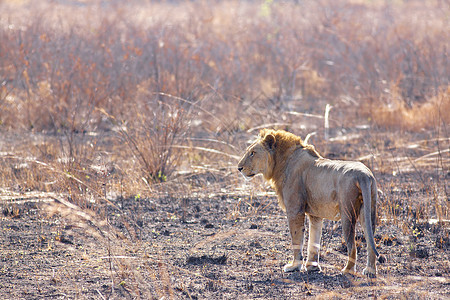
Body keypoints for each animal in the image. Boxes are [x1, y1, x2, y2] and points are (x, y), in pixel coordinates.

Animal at [237, 127, 382, 278]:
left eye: (253, 153)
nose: (239, 168)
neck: (280, 162)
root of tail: (364, 175)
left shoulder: (295, 209)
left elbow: (297, 239)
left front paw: (294, 266)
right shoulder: (315, 214)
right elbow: (314, 241)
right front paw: (312, 266)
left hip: (347, 213)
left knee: (352, 245)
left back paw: (347, 270)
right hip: (369, 210)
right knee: (370, 241)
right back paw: (370, 271)